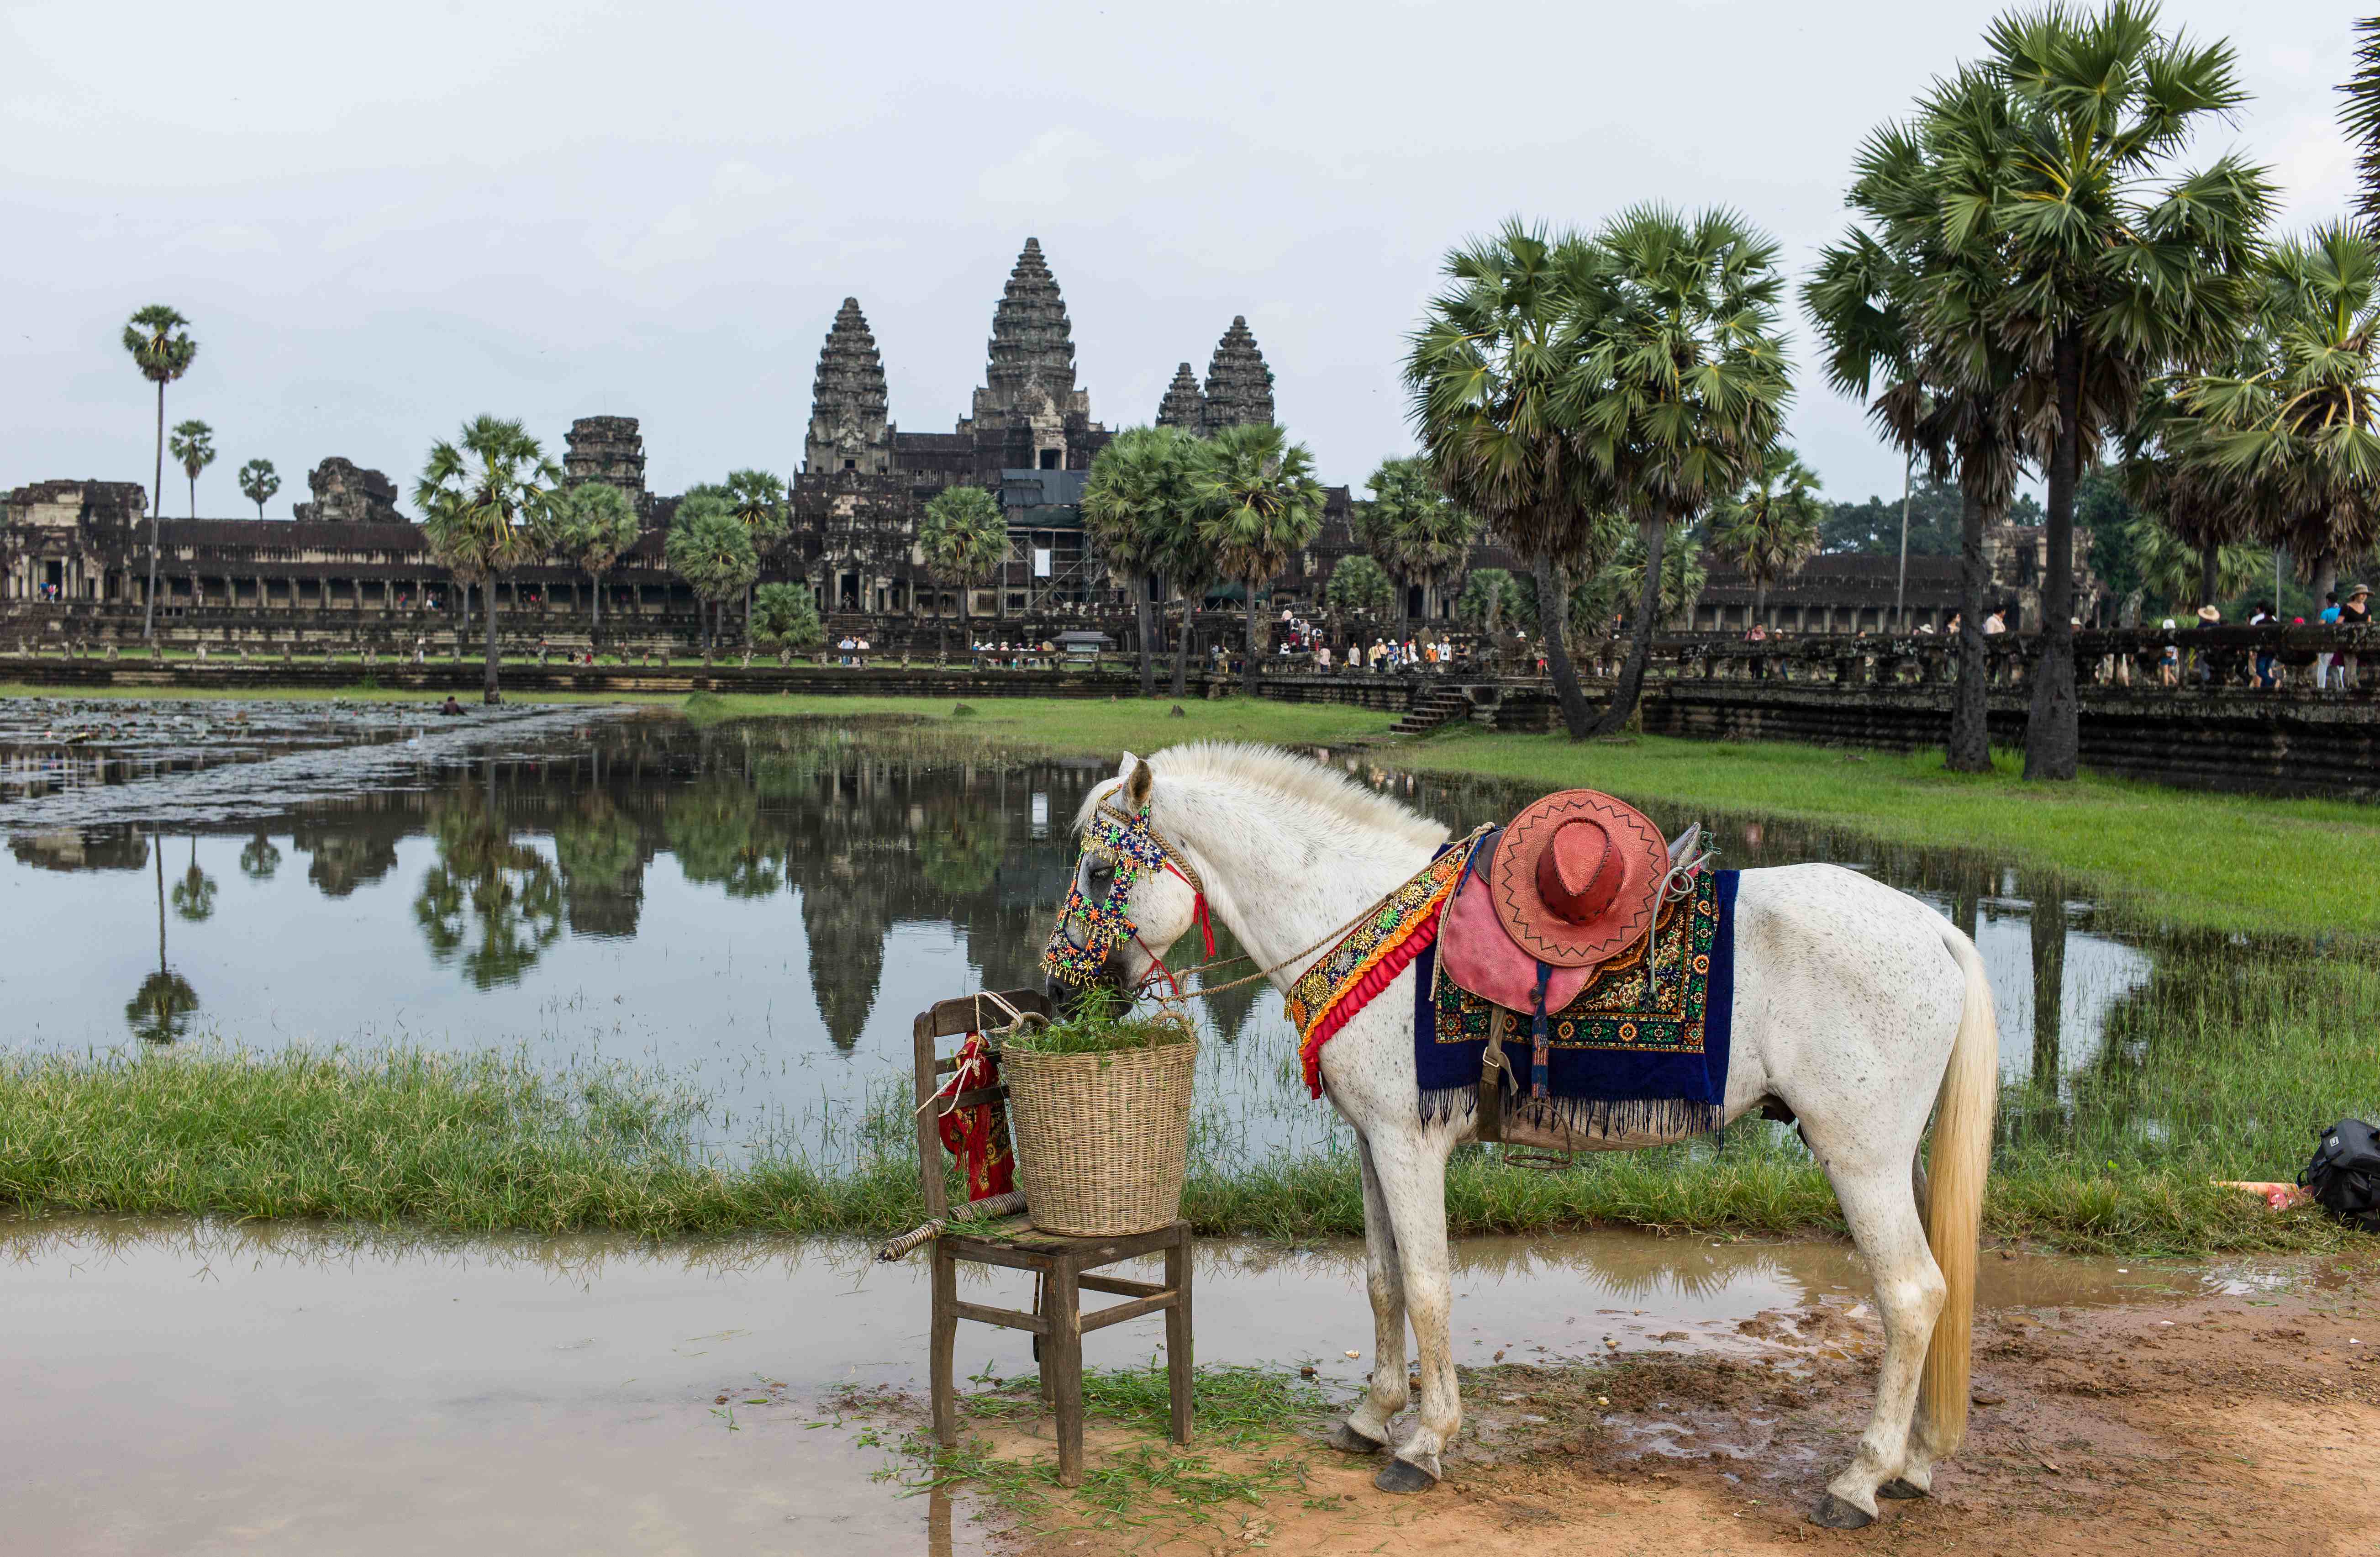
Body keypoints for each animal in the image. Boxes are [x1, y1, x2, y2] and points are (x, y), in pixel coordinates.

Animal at [1046, 744, 1997, 1529]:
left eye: (1098, 869)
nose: (1059, 994)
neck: (1360, 916)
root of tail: (1934, 926)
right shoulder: (1370, 1143)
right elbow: (1382, 1281)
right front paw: (1371, 1415)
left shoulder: (1409, 1144)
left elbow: (1427, 1286)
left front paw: (1425, 1442)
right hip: (1900, 1162)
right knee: (1931, 1293)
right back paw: (1912, 1464)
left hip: (1860, 1158)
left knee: (1910, 1294)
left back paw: (1859, 1481)